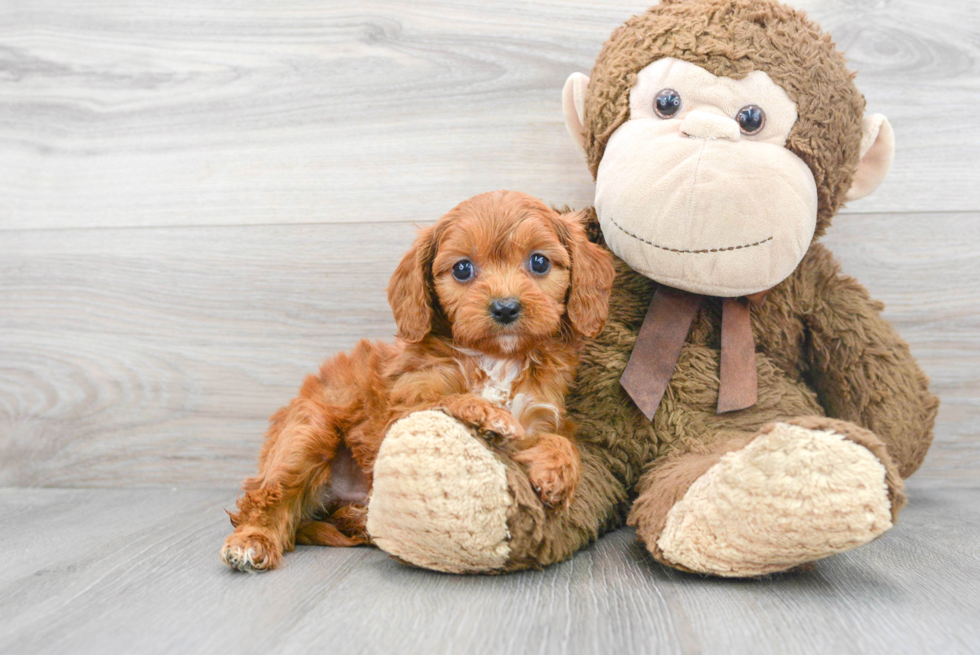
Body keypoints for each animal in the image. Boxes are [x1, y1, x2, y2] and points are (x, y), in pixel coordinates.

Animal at [222, 191, 612, 576]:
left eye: (539, 263)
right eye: (462, 269)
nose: (505, 308)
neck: (497, 360)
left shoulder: (540, 415)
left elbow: (562, 441)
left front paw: (557, 472)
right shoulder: (401, 410)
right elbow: (447, 400)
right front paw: (488, 414)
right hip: (307, 434)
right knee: (267, 496)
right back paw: (252, 540)